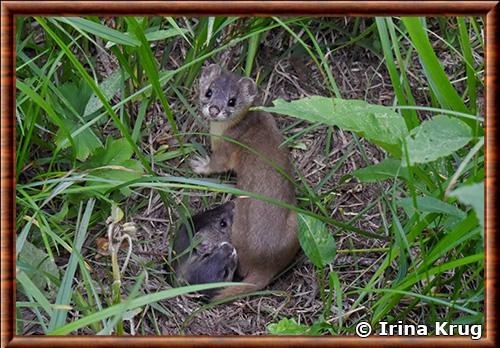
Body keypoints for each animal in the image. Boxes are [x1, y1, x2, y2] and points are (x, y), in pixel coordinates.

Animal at [189, 64, 298, 300]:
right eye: (209, 91)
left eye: (232, 100)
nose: (214, 109)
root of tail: (265, 264)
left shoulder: (225, 151)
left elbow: (216, 165)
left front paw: (199, 164)